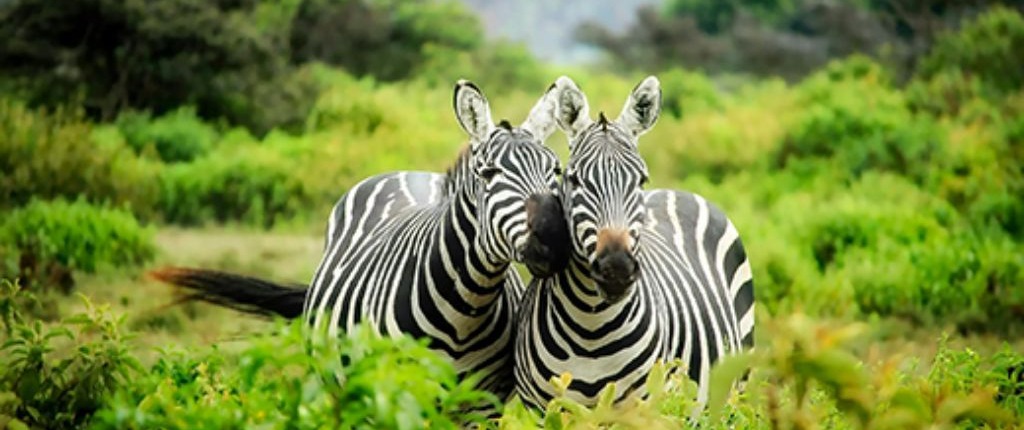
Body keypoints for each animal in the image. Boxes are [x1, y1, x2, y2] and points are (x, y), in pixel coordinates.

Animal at [152, 78, 573, 399]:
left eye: (555, 170)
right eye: (488, 174)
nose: (554, 240)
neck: (464, 310)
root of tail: (407, 172)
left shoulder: (480, 405)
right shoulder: (394, 393)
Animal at [512, 76, 753, 409]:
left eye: (641, 180)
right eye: (574, 179)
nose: (617, 269)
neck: (590, 327)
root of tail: (677, 191)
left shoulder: (641, 406)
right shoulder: (543, 408)